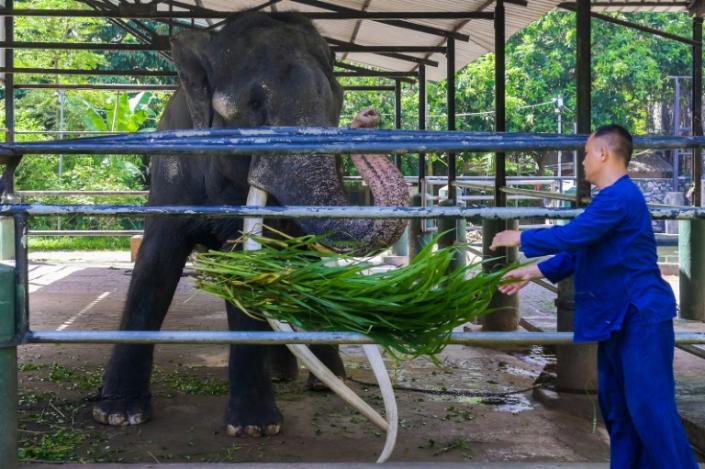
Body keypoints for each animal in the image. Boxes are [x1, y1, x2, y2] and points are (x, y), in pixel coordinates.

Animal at [93, 11, 410, 436]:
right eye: (254, 104)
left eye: (335, 100)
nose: (368, 116)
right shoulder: (172, 172)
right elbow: (155, 267)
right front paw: (117, 415)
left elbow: (247, 270)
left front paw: (254, 428)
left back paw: (323, 380)